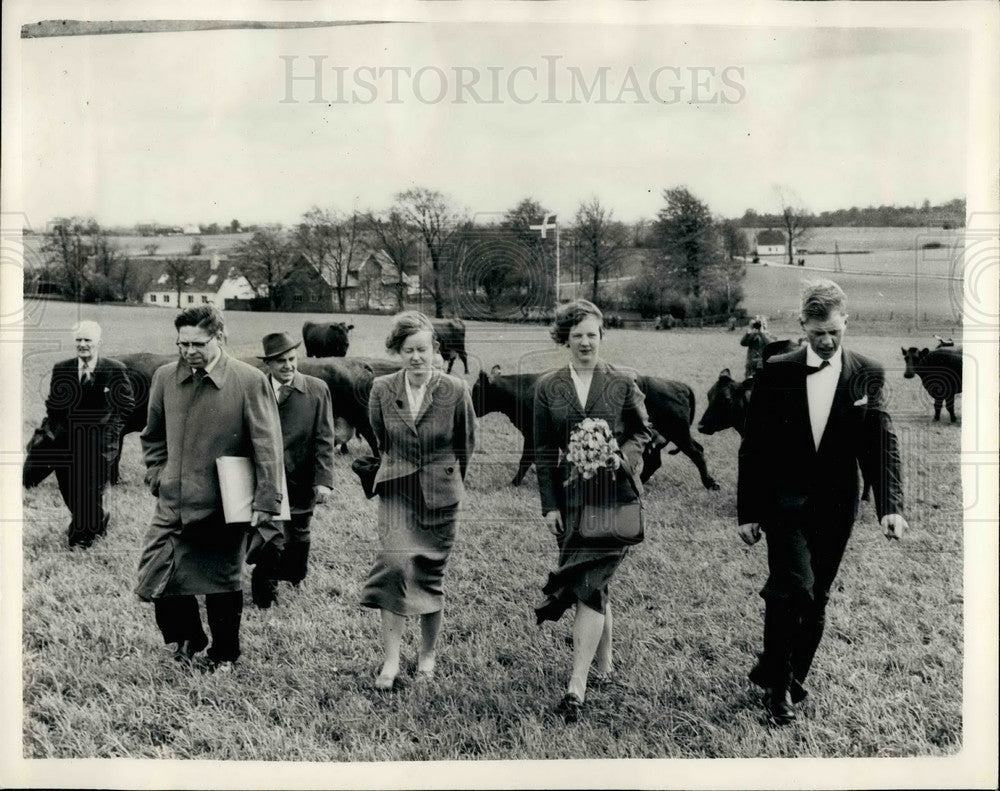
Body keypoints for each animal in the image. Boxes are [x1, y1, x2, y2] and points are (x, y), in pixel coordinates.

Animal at [470, 366, 720, 488]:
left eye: (476, 390)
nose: (469, 407)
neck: (523, 388)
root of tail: (678, 384)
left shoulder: (533, 437)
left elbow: (526, 460)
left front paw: (513, 483)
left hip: (677, 432)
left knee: (696, 453)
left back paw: (710, 483)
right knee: (655, 461)